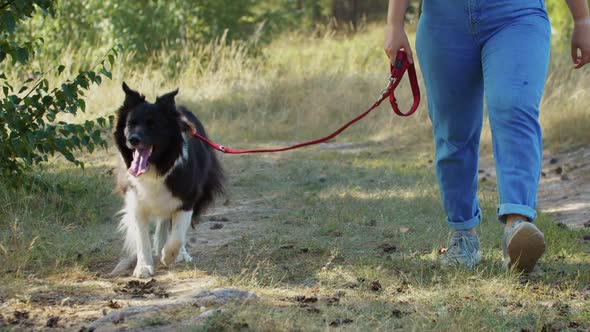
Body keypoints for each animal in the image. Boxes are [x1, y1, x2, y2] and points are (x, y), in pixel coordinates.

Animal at [111, 82, 224, 278]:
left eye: (153, 125)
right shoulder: (135, 198)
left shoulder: (187, 196)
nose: (133, 140)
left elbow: (178, 234)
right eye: (130, 124)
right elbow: (141, 236)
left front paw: (169, 256)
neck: (155, 167)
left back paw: (177, 252)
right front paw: (143, 267)